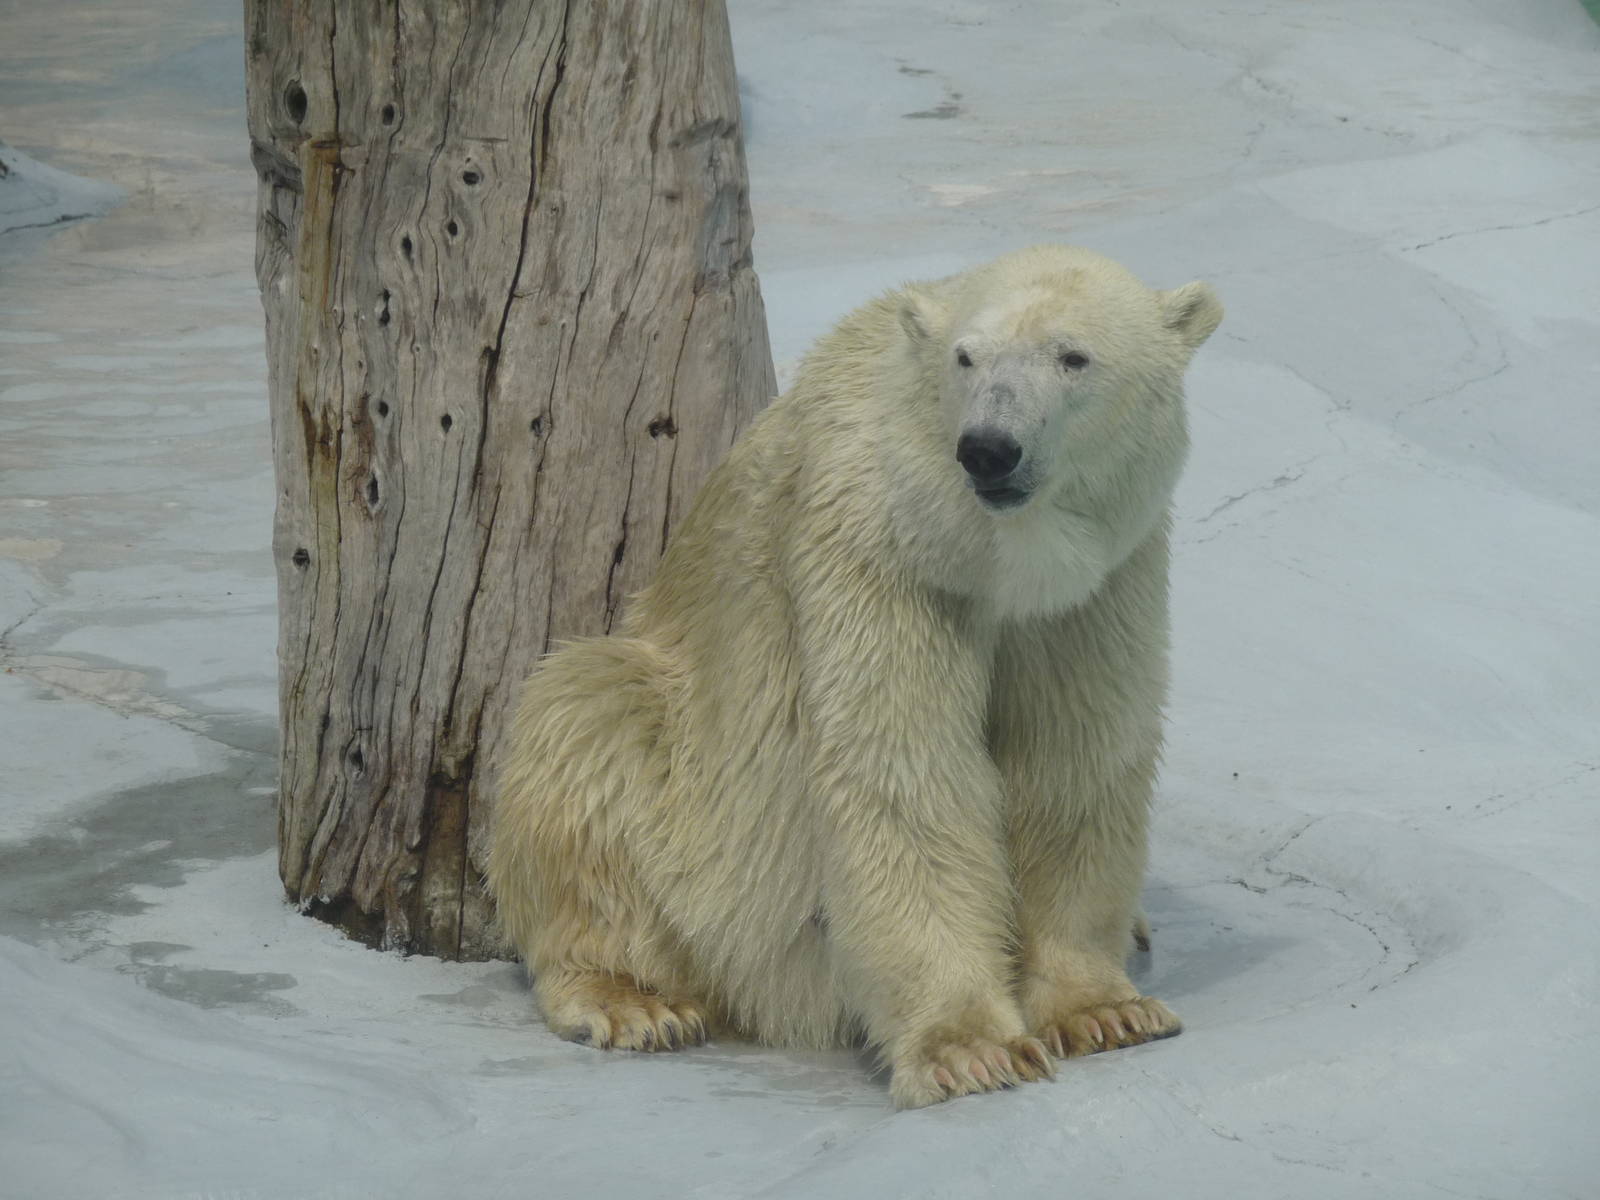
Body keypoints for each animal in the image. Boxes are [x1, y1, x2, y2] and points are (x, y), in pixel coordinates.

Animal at [486, 244, 1222, 1108]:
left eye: (1072, 356)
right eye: (966, 358)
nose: (989, 447)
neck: (987, 554)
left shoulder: (1094, 591)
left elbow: (1074, 763)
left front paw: (1104, 1010)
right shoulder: (877, 547)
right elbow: (902, 773)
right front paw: (971, 1049)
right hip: (683, 788)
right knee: (585, 720)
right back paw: (631, 1000)